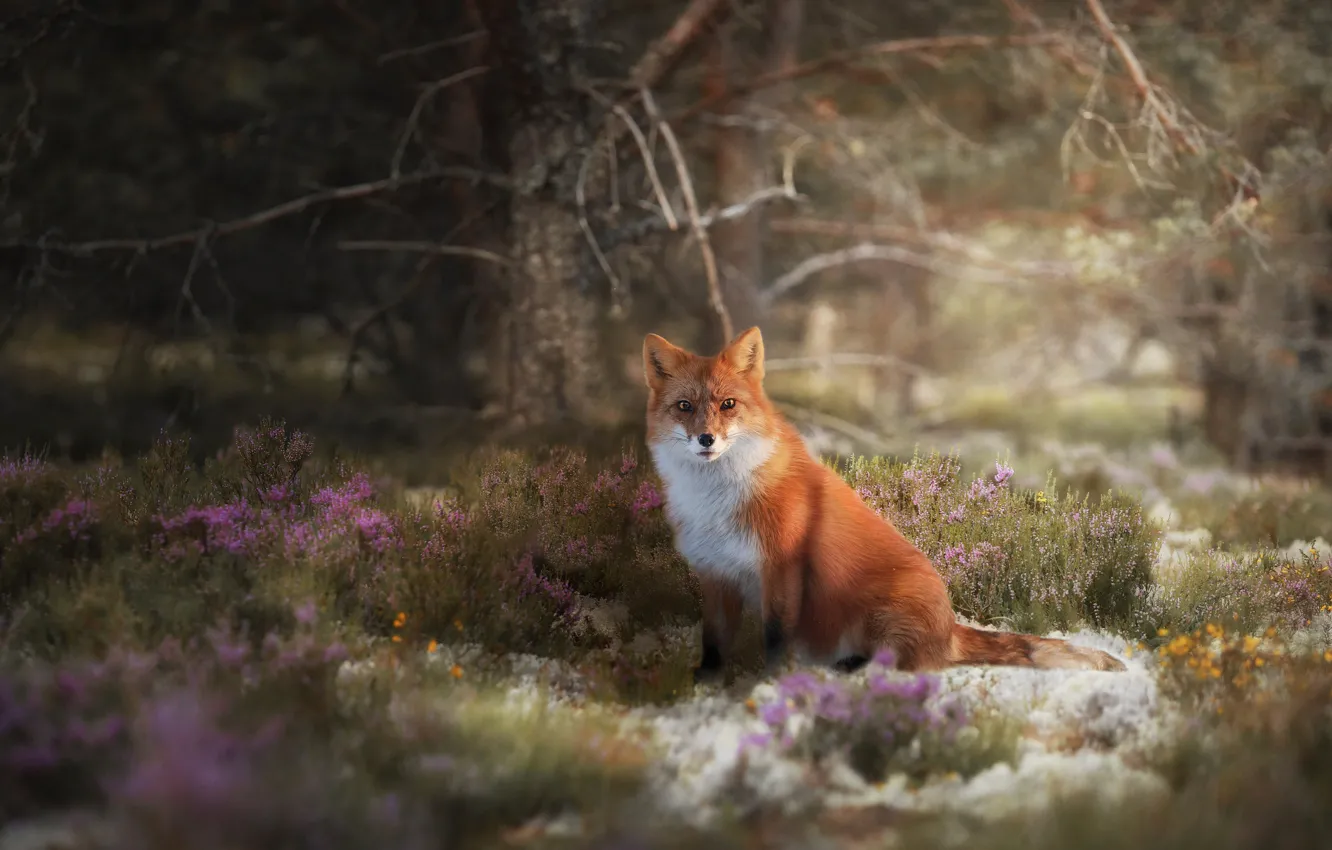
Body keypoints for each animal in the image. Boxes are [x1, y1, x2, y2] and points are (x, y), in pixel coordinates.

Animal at [641, 326, 1127, 682]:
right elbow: (713, 639)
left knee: (905, 663)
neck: (716, 500)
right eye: (684, 406)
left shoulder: (781, 565)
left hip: (879, 612)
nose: (706, 439)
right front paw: (705, 681)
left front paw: (768, 683)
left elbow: (777, 638)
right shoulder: (715, 570)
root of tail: (949, 626)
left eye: (728, 404)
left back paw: (851, 665)